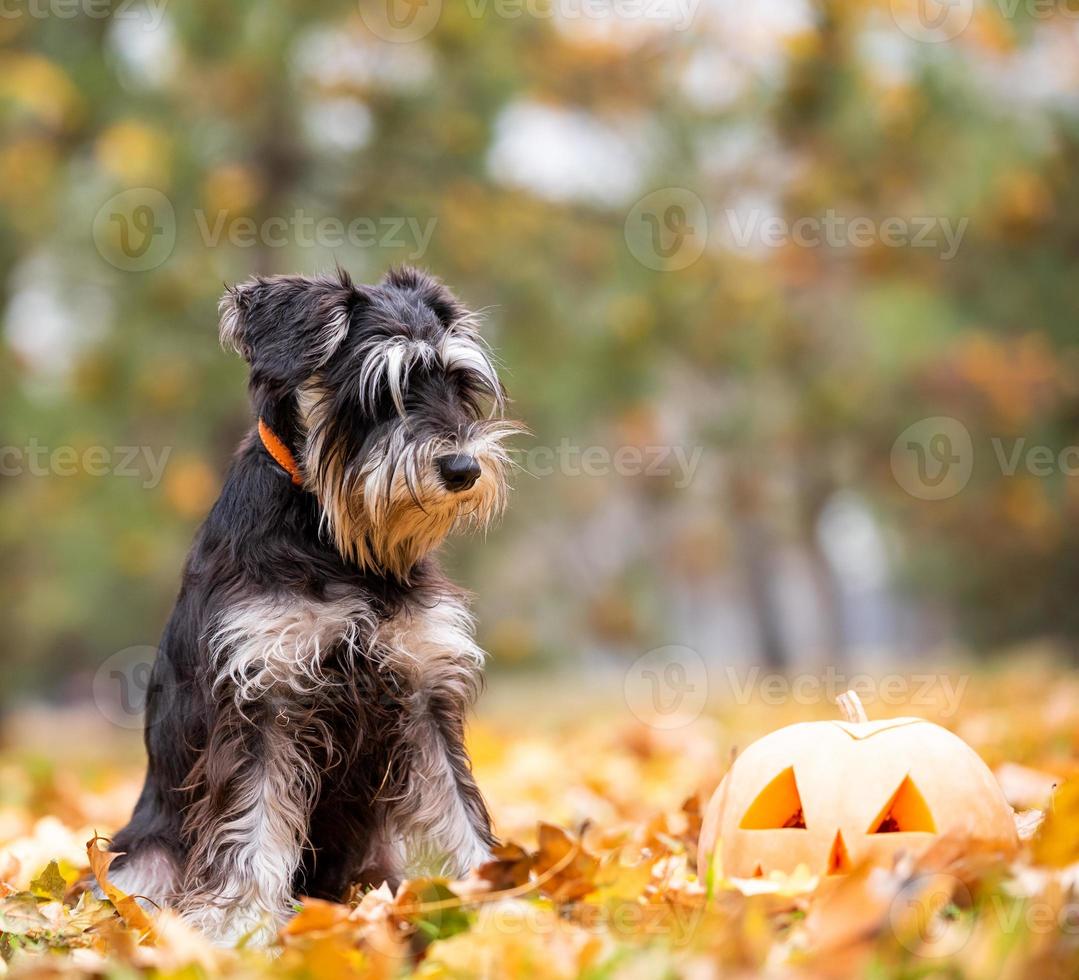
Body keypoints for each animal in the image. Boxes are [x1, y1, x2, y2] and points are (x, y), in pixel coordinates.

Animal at [105, 266, 522, 941]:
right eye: (382, 391)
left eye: (460, 384)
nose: (462, 468)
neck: (338, 540)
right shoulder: (264, 700)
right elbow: (252, 825)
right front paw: (241, 926)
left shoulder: (423, 696)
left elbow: (457, 808)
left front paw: (499, 901)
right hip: (140, 855)